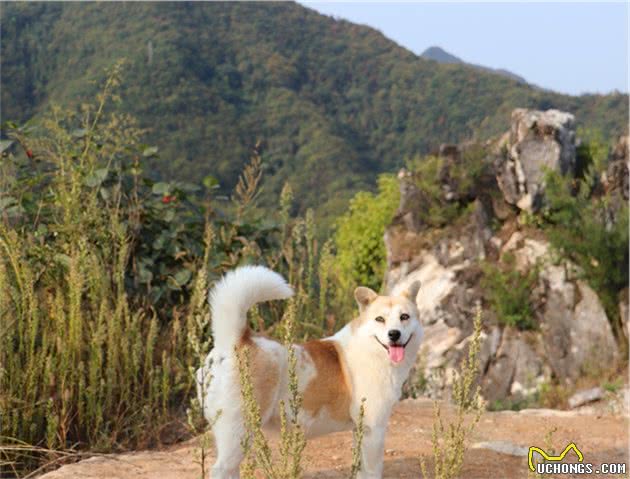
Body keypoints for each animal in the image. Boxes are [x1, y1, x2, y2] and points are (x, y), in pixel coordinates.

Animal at [198, 266, 424, 479]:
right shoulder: (374, 431)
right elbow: (372, 472)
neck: (371, 348)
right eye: (379, 319)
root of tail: (236, 340)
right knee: (220, 470)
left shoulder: (360, 431)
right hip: (239, 431)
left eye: (404, 317)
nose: (394, 334)